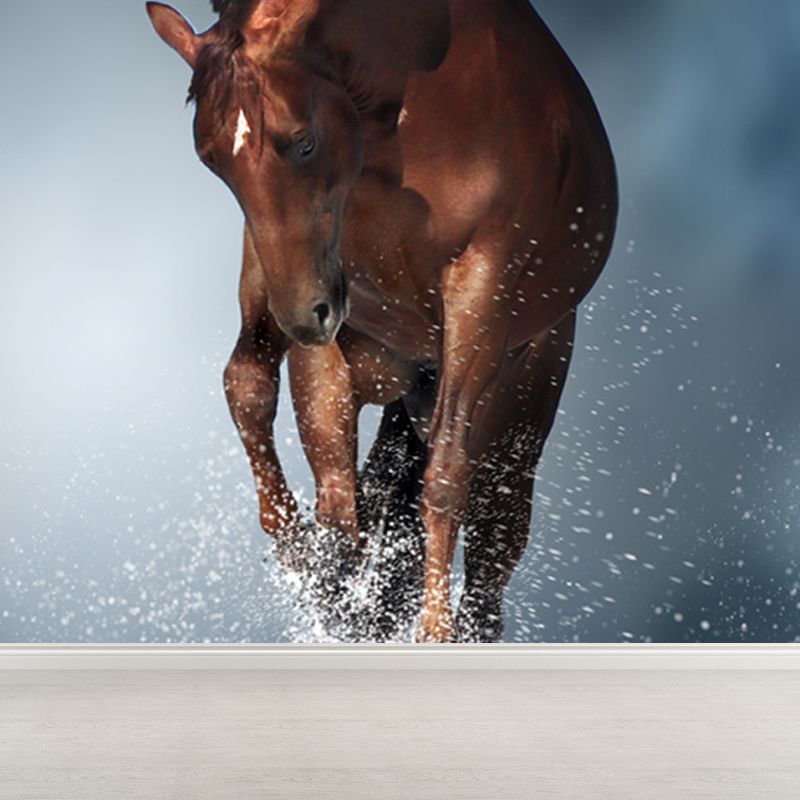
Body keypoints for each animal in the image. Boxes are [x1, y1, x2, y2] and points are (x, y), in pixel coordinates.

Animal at [147, 0, 618, 642]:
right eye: (212, 159)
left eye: (303, 143)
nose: (307, 318)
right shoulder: (296, 277)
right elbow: (271, 410)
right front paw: (309, 564)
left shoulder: (483, 287)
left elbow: (445, 474)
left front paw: (433, 631)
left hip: (519, 405)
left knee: (491, 550)